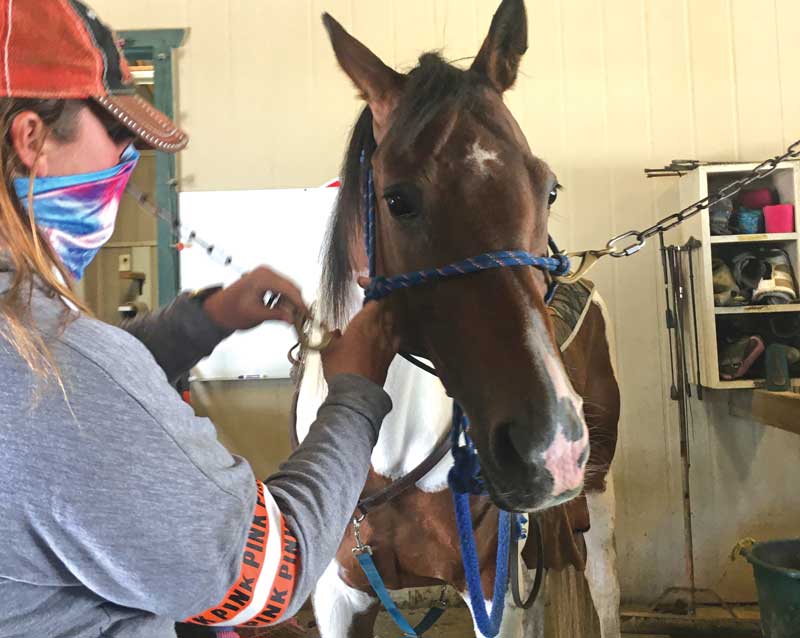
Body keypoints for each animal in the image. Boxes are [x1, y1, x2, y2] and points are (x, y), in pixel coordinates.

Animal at [292, 2, 620, 636]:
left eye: (548, 189)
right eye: (397, 200)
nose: (549, 444)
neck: (388, 457)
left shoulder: (491, 590)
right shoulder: (339, 597)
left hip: (596, 493)